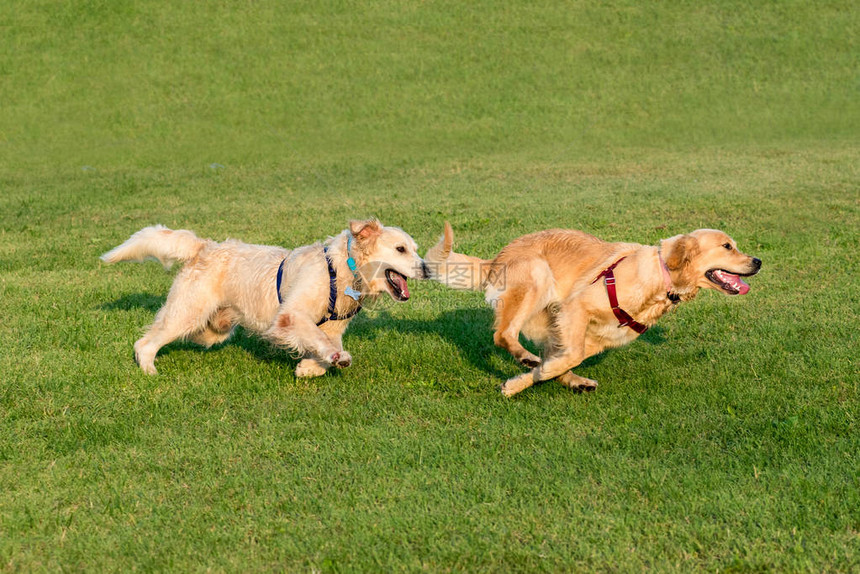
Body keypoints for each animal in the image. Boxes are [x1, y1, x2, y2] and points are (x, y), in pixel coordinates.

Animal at [101, 219, 426, 378]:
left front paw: (311, 368)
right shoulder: (291, 315)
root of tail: (205, 246)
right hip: (188, 312)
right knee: (145, 342)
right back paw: (149, 371)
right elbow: (316, 337)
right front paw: (332, 358)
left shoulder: (334, 326)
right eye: (400, 249)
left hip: (214, 328)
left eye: (415, 249)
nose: (426, 268)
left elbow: (325, 341)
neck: (346, 268)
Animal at [426, 223, 764, 398]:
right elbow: (564, 359)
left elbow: (562, 361)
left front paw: (517, 384)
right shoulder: (576, 307)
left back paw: (570, 379)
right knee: (503, 334)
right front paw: (532, 374)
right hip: (536, 278)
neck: (662, 276)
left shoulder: (599, 338)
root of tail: (498, 258)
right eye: (727, 247)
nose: (758, 261)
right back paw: (526, 357)